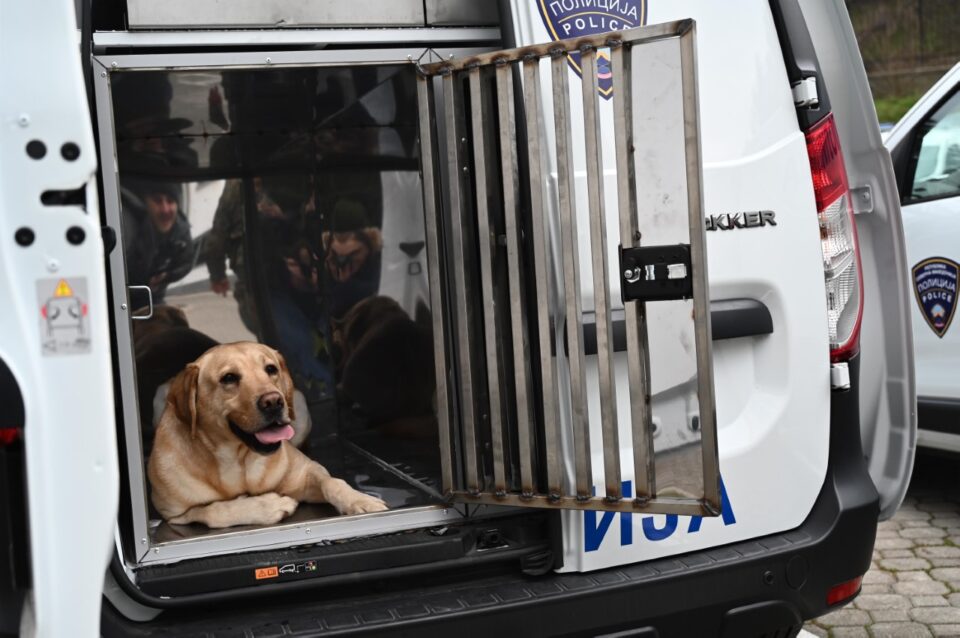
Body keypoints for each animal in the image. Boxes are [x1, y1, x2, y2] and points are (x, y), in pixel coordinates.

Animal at [146, 342, 386, 528]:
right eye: (229, 378)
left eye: (271, 369)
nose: (273, 402)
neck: (238, 461)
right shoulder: (175, 515)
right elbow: (213, 511)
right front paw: (271, 505)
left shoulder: (307, 472)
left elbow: (332, 482)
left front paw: (360, 500)